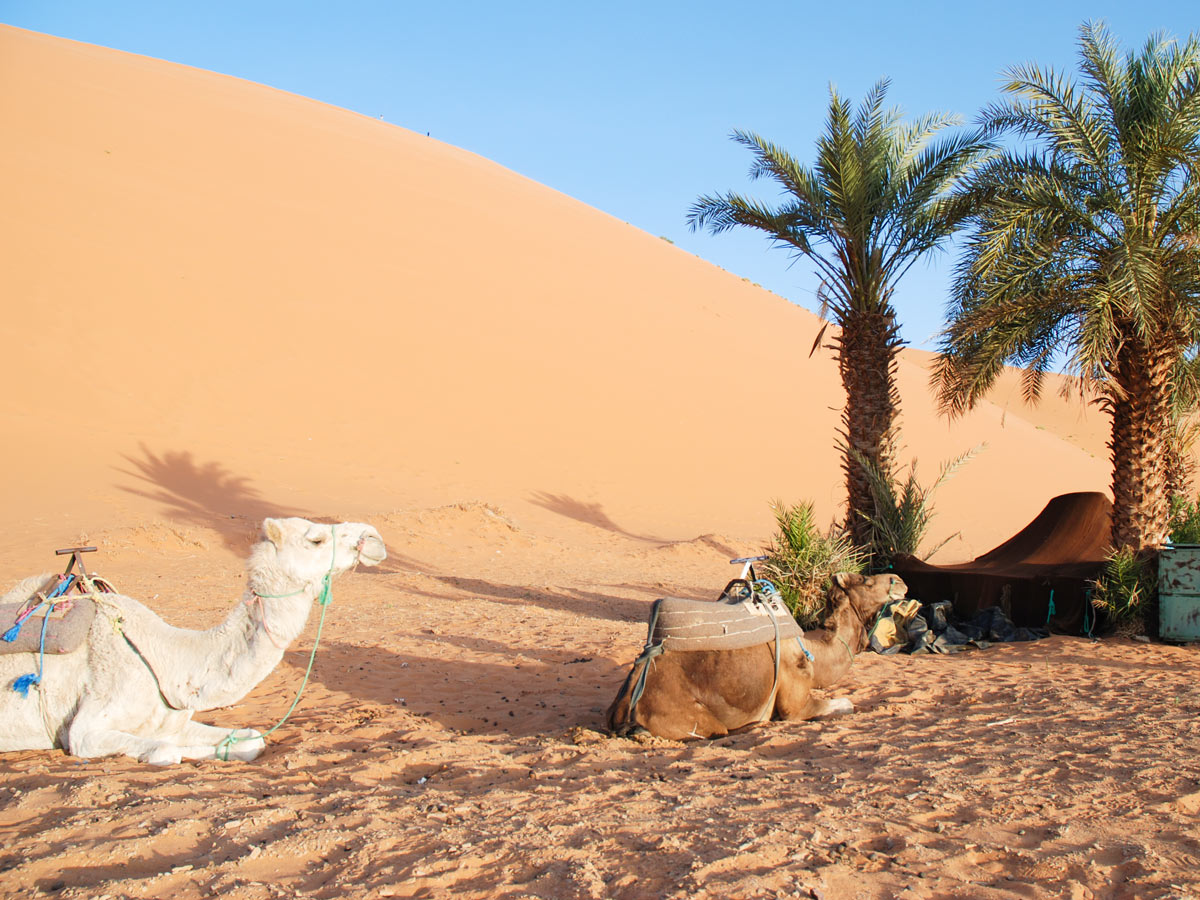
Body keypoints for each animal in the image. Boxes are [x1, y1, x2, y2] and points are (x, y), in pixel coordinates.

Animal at [0, 518, 386, 763]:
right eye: (315, 539)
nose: (374, 538)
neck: (166, 659)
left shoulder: (170, 718)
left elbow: (252, 740)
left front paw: (229, 748)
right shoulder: (86, 730)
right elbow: (165, 751)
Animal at [609, 573, 907, 744]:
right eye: (867, 580)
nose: (901, 581)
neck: (814, 654)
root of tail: (624, 705)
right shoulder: (795, 705)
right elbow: (846, 704)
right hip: (689, 719)